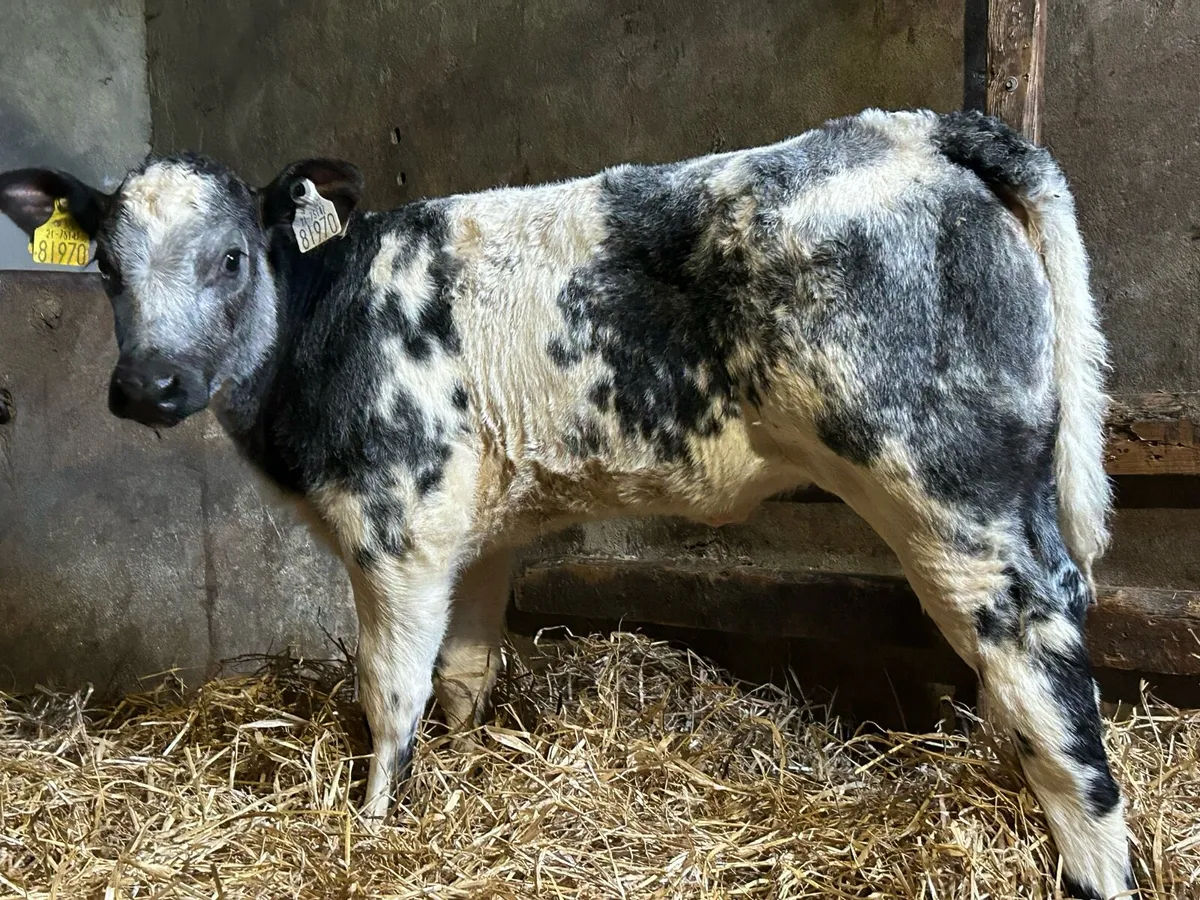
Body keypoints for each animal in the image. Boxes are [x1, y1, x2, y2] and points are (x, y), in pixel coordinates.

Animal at [0, 108, 1131, 898]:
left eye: (231, 257)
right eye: (104, 269)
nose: (147, 385)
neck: (319, 329)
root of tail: (910, 128)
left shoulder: (394, 528)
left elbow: (389, 690)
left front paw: (373, 825)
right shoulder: (474, 535)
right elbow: (463, 672)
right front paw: (457, 776)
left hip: (946, 486)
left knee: (1041, 657)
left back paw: (1090, 858)